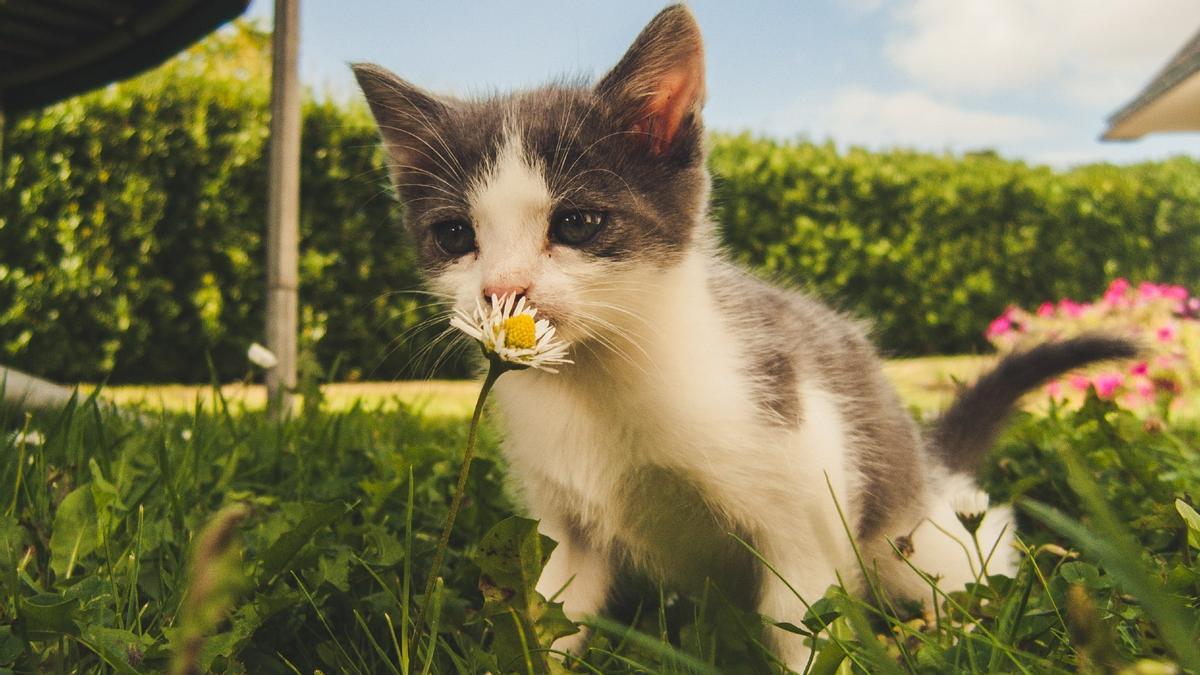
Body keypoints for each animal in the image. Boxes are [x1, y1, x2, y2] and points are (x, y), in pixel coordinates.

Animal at [352, 5, 1132, 662]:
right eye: (456, 236)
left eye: (577, 223)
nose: (502, 290)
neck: (600, 381)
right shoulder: (563, 528)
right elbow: (554, 614)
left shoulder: (804, 499)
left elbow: (805, 627)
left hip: (910, 532)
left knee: (973, 548)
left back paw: (950, 628)